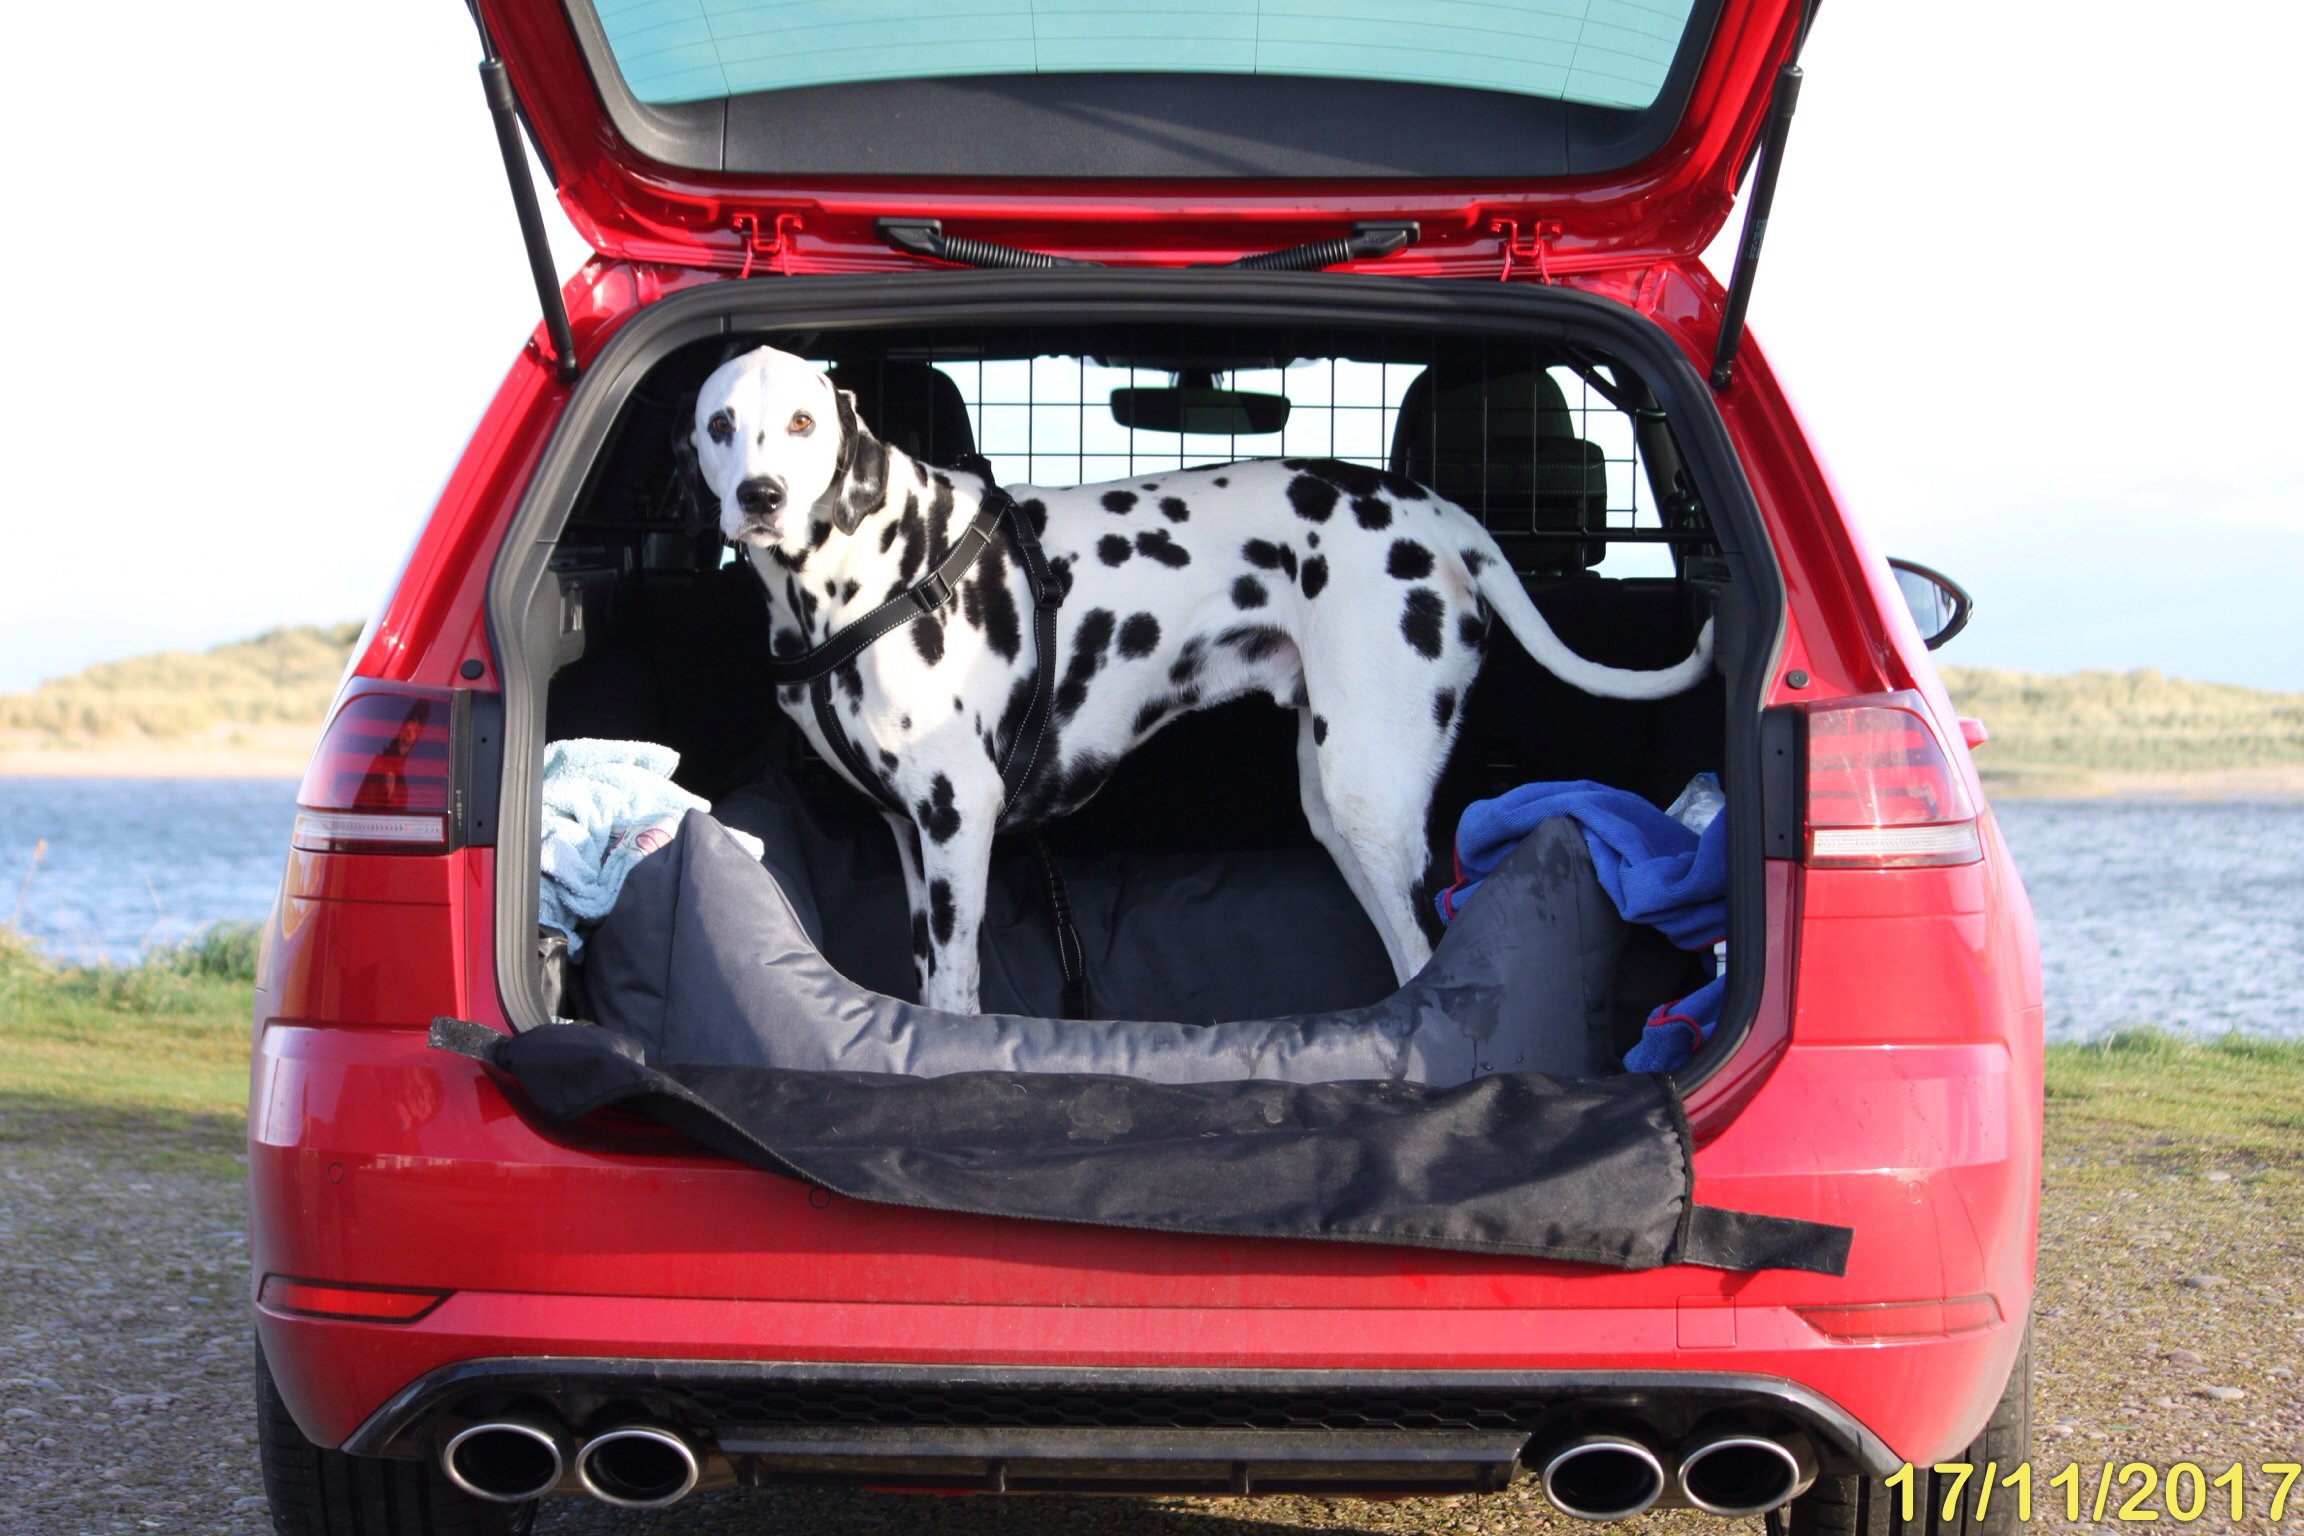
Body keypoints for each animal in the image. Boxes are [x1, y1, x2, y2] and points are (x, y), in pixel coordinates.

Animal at [681, 350, 1714, 1022]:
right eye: (722, 425)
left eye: (804, 422)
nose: (762, 496)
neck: (867, 568)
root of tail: (1439, 514)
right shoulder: (910, 832)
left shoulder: (957, 818)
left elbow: (954, 990)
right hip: (1339, 807)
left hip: (1370, 796)